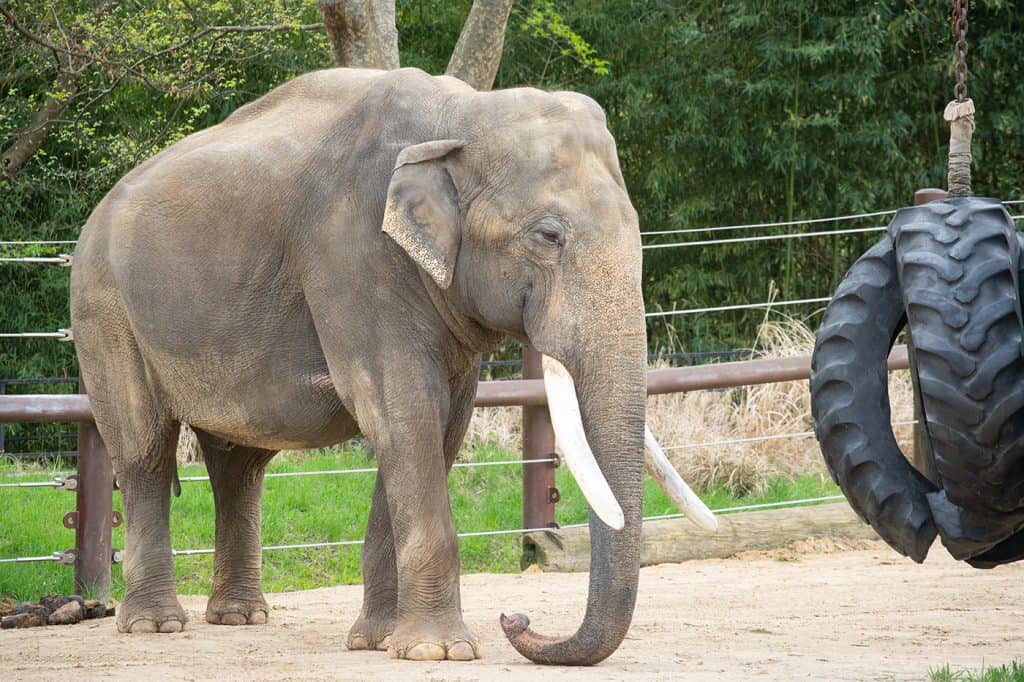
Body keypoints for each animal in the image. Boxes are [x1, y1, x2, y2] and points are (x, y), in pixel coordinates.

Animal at [70, 67, 710, 665]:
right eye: (548, 236)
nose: (517, 617)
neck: (462, 116)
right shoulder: (353, 257)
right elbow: (402, 414)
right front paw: (441, 651)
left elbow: (437, 428)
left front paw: (379, 642)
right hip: (103, 310)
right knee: (146, 451)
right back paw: (155, 625)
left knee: (239, 464)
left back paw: (239, 617)